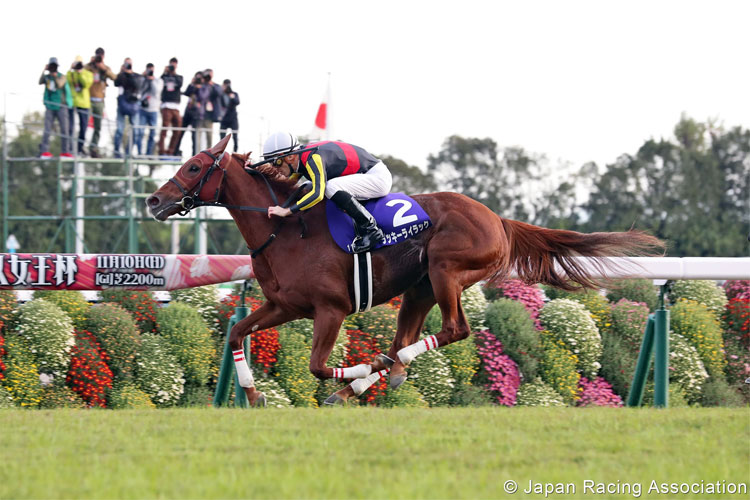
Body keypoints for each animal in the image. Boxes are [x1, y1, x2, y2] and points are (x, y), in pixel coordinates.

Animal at [147, 136, 664, 406]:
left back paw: (370, 374)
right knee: (404, 342)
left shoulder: (331, 308)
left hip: (445, 270)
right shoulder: (283, 305)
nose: (153, 200)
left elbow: (317, 365)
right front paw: (253, 395)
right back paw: (376, 376)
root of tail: (497, 218)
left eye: (193, 166)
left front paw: (356, 370)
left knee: (453, 329)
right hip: (419, 288)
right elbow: (236, 334)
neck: (285, 229)